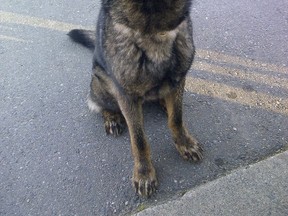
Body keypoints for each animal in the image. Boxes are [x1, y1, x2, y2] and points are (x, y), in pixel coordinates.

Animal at [67, 0, 202, 197]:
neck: (154, 30)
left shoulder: (178, 79)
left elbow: (176, 119)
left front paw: (184, 143)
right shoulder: (127, 96)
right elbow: (139, 140)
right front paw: (144, 173)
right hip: (101, 82)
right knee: (98, 103)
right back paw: (112, 118)